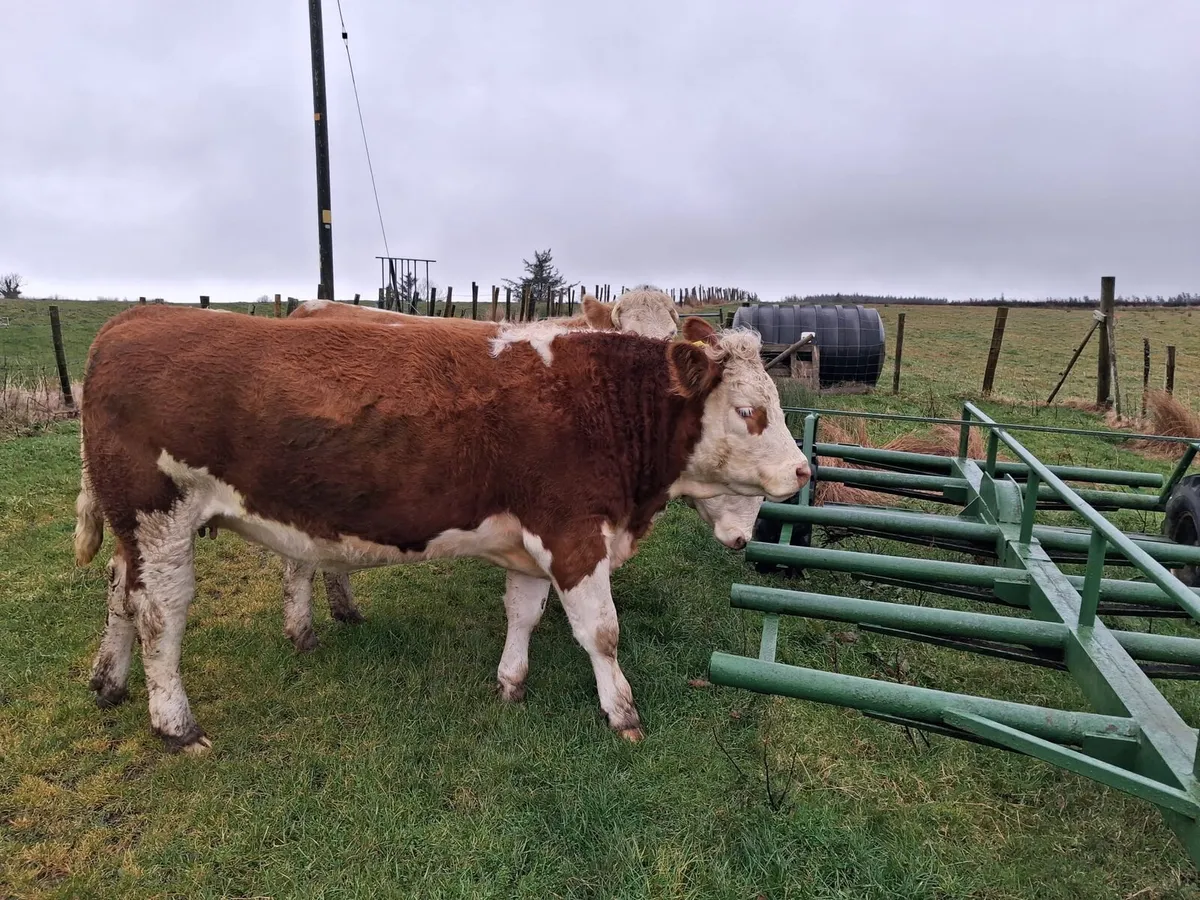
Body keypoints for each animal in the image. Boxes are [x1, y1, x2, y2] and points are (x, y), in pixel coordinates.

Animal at [275, 295, 757, 648]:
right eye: (625, 334)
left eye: (669, 334)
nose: (741, 538)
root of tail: (310, 306)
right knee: (298, 564)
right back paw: (303, 633)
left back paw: (345, 611)